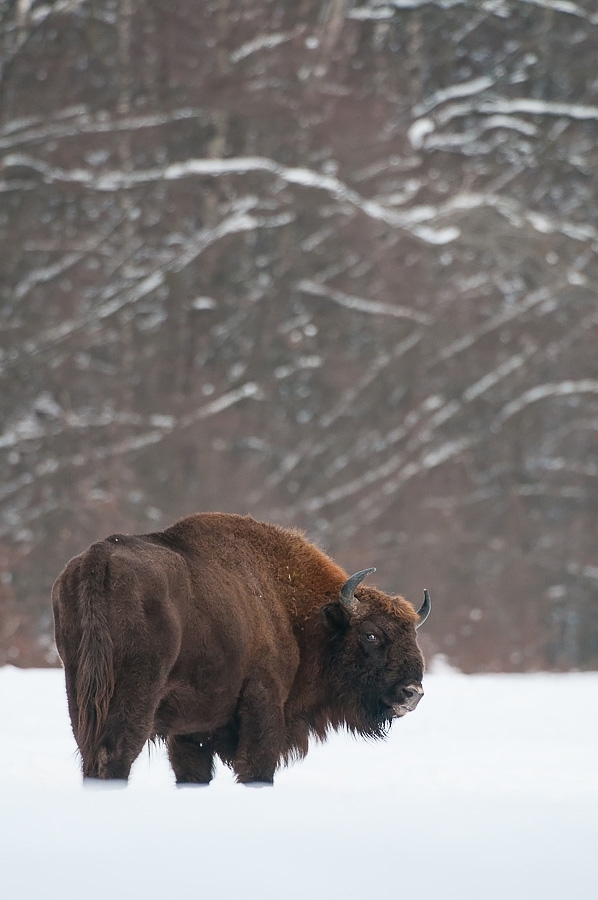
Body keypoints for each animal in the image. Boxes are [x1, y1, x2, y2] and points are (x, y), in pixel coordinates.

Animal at [52, 512, 430, 785]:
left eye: (412, 635)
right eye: (371, 635)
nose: (412, 692)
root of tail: (99, 559)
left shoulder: (189, 731)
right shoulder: (263, 703)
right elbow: (256, 767)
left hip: (80, 691)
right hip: (134, 695)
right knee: (115, 753)